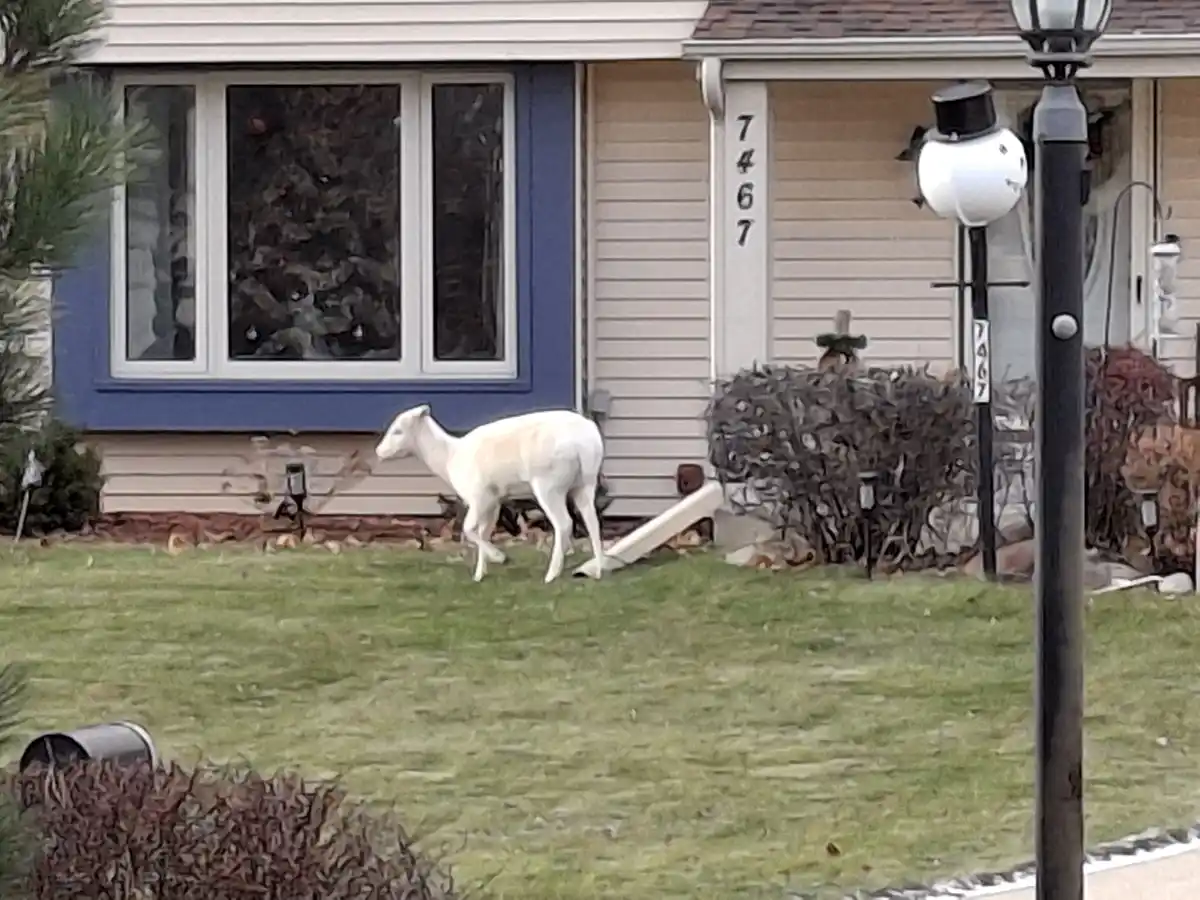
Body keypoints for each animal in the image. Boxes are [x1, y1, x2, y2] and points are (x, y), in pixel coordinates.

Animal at [375, 405, 608, 583]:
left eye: (398, 431)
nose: (379, 451)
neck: (450, 459)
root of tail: (585, 443)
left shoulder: (478, 495)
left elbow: (468, 529)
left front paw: (500, 557)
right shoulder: (494, 500)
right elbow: (484, 531)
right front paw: (480, 574)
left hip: (548, 483)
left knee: (564, 523)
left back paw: (551, 574)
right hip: (586, 481)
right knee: (592, 520)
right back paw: (598, 569)